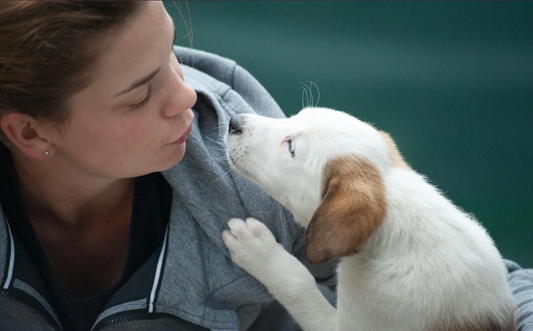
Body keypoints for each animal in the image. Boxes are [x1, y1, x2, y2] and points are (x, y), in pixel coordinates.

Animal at [221, 109, 516, 331]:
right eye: (296, 115)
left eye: (291, 147)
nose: (234, 121)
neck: (396, 233)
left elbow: (298, 283)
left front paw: (258, 250)